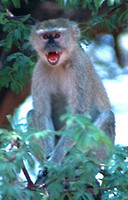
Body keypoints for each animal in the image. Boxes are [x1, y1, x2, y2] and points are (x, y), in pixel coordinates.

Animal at [29, 17, 115, 164]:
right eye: (45, 37)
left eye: (57, 36)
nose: (51, 46)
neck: (60, 65)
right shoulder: (39, 70)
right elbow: (42, 114)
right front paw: (47, 160)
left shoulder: (79, 69)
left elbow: (78, 116)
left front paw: (55, 159)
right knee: (31, 114)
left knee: (108, 116)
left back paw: (74, 159)